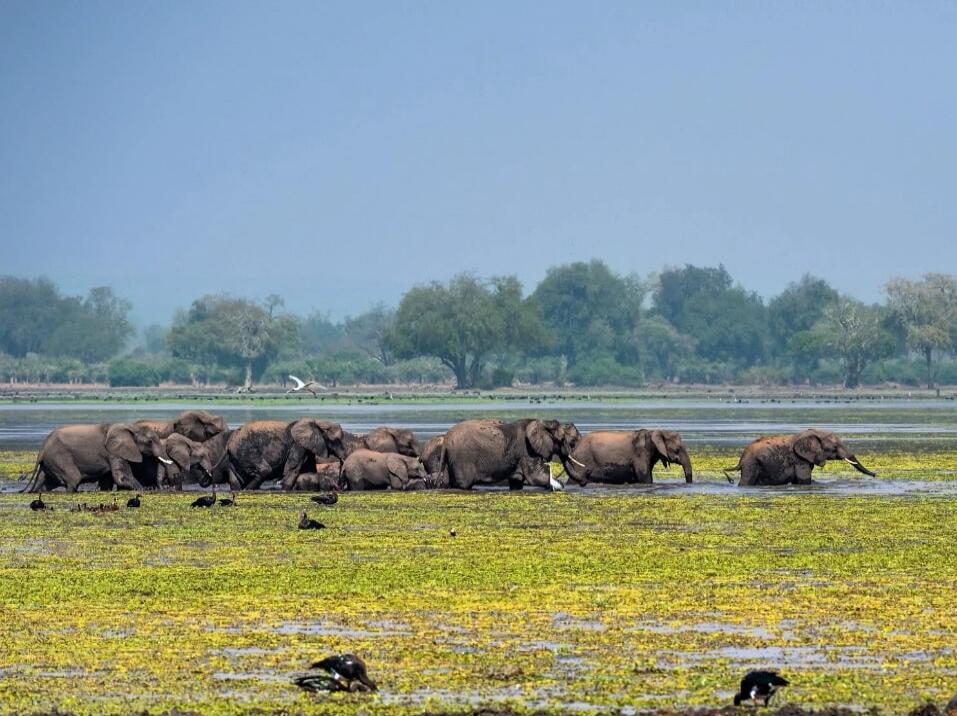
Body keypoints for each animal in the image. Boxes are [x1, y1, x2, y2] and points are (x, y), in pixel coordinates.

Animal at [25, 423, 173, 492]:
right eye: (150, 442)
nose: (163, 489)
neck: (131, 426)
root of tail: (42, 448)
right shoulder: (113, 452)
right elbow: (121, 477)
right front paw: (144, 490)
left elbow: (107, 481)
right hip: (59, 456)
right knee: (73, 479)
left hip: (49, 462)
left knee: (43, 484)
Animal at [442, 419, 581, 490]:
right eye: (569, 442)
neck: (544, 423)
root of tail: (445, 440)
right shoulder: (527, 450)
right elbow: (536, 476)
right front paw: (558, 486)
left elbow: (516, 481)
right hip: (462, 458)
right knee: (464, 484)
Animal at [727, 428, 876, 486]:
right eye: (834, 447)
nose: (875, 474)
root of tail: (742, 457)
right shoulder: (799, 460)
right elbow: (804, 480)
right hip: (751, 464)